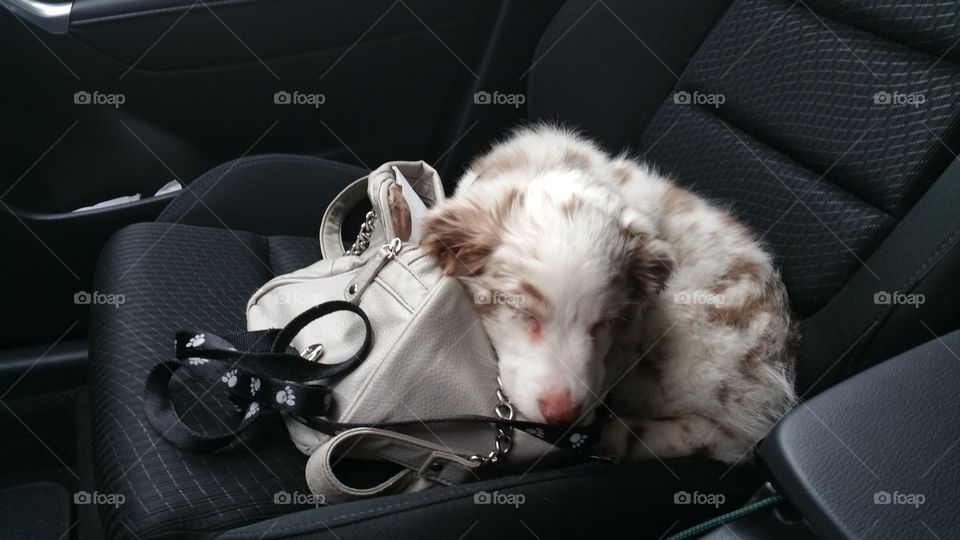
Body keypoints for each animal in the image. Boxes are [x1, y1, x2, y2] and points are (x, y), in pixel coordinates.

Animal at [424, 124, 800, 462]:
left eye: (604, 323)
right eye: (521, 312)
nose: (563, 417)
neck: (549, 165)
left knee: (719, 437)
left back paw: (617, 437)